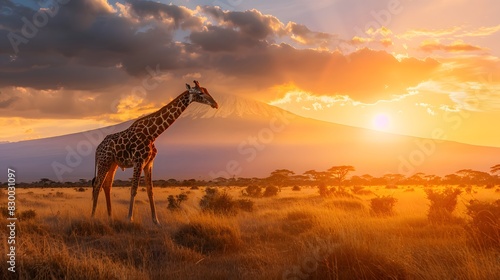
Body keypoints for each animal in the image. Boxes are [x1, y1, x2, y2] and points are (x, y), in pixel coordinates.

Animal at [91, 80, 218, 224]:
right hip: (104, 161)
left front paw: (155, 220)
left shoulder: (149, 162)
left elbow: (150, 190)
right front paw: (129, 218)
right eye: (200, 93)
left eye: (206, 90)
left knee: (107, 185)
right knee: (97, 185)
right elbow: (133, 189)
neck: (153, 133)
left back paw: (110, 216)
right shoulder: (138, 161)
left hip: (113, 164)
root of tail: (97, 148)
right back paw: (93, 216)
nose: (215, 104)